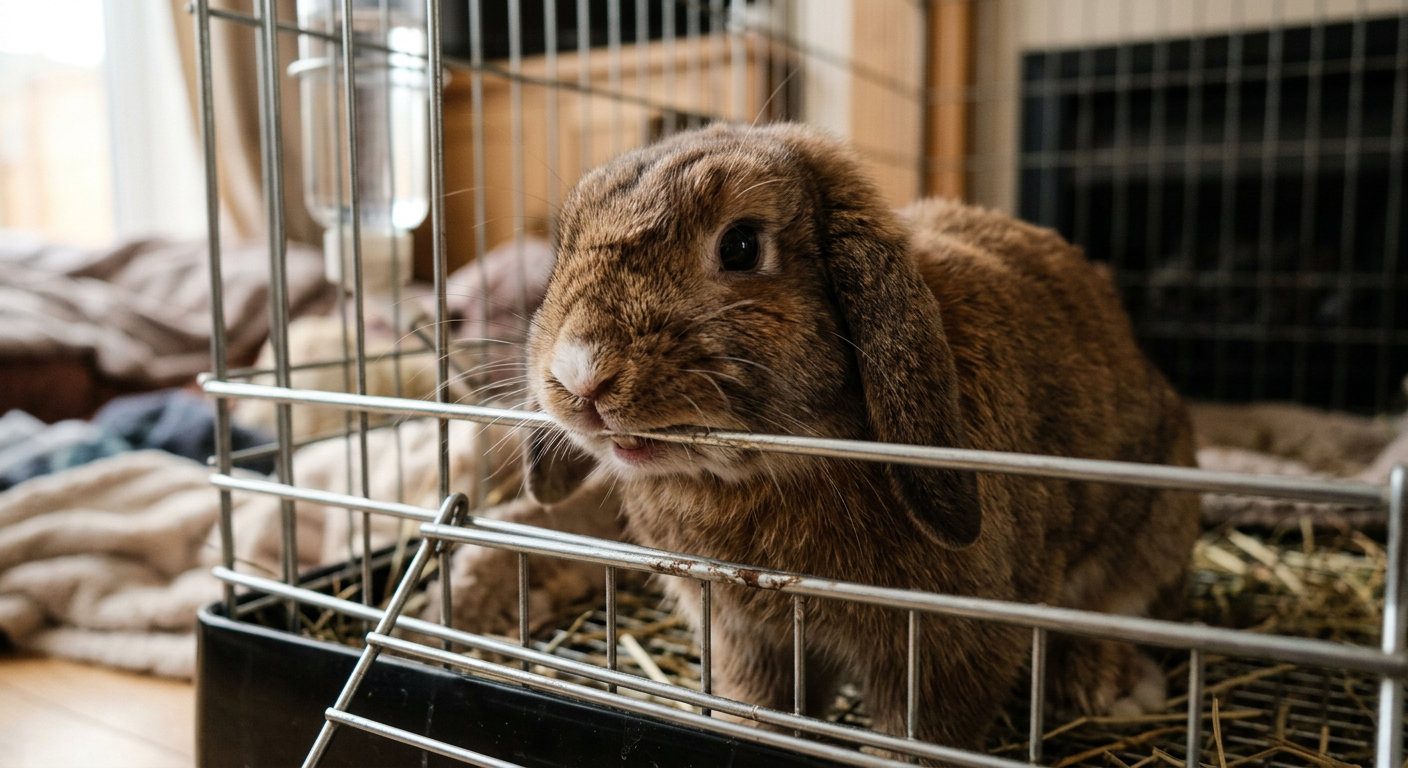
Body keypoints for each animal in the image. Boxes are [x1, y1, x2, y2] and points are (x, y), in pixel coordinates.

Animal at [520, 122, 1201, 753]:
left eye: (740, 246)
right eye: (567, 242)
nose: (580, 374)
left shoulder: (947, 649)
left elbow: (919, 735)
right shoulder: (748, 641)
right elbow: (763, 706)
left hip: (1149, 533)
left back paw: (1106, 686)